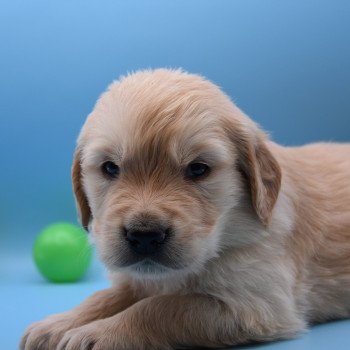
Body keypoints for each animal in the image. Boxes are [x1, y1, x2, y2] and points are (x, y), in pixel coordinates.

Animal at [19, 69, 350, 350]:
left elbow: (161, 307)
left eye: (198, 169)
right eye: (110, 168)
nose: (145, 236)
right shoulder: (139, 277)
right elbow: (106, 296)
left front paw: (96, 333)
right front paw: (59, 324)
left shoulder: (258, 303)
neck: (228, 233)